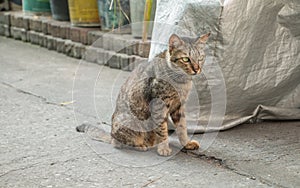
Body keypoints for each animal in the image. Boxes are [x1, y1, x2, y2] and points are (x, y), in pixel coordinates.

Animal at [78, 32, 212, 156]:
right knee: (118, 143)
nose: (197, 69)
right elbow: (162, 130)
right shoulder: (159, 106)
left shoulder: (179, 106)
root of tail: (111, 134)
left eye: (200, 58)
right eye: (186, 59)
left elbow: (182, 127)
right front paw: (164, 148)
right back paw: (141, 146)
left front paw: (186, 143)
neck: (182, 82)